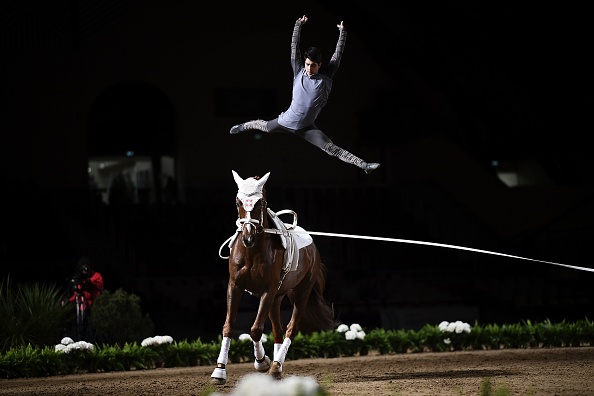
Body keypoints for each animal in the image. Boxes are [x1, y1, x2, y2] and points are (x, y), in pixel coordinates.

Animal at [210, 170, 336, 384]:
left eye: (260, 202)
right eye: (238, 201)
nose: (248, 237)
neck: (252, 251)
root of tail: (312, 245)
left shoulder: (267, 291)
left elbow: (255, 329)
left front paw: (262, 363)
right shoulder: (235, 286)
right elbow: (229, 326)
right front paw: (219, 370)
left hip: (300, 293)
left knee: (291, 328)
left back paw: (276, 365)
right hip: (277, 298)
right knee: (278, 330)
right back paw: (277, 365)